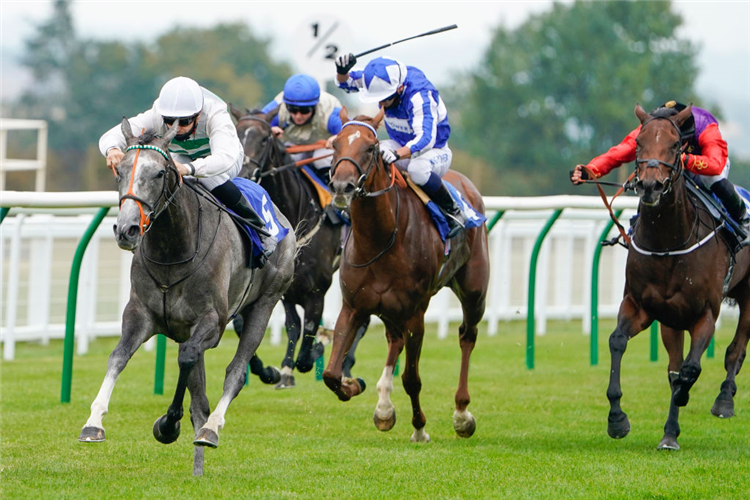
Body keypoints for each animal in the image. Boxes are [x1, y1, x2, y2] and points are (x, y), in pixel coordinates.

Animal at [78, 119, 296, 474]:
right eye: (119, 170)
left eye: (158, 173)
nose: (126, 230)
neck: (173, 249)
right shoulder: (140, 314)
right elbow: (118, 356)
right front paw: (94, 422)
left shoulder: (212, 322)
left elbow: (188, 359)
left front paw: (168, 424)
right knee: (200, 394)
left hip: (265, 303)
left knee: (235, 373)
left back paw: (211, 429)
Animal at [229, 104, 370, 386]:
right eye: (238, 134)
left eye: (265, 138)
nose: (244, 174)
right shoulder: (286, 288)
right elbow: (291, 326)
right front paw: (278, 370)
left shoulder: (317, 291)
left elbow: (309, 341)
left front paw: (319, 348)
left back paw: (347, 365)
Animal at [324, 110, 490, 442]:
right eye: (335, 144)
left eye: (371, 147)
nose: (341, 187)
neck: (381, 239)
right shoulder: (353, 307)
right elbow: (331, 374)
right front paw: (353, 385)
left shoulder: (416, 313)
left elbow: (412, 378)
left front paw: (420, 428)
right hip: (389, 310)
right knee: (394, 339)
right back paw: (383, 408)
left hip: (474, 291)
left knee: (467, 335)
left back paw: (462, 413)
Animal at [604, 103, 750, 452]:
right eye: (638, 143)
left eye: (674, 145)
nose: (650, 186)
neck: (668, 240)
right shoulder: (641, 306)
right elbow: (619, 342)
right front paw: (617, 419)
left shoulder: (705, 314)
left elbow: (690, 369)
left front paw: (687, 397)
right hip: (672, 320)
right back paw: (670, 432)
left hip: (749, 294)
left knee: (736, 350)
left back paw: (724, 400)